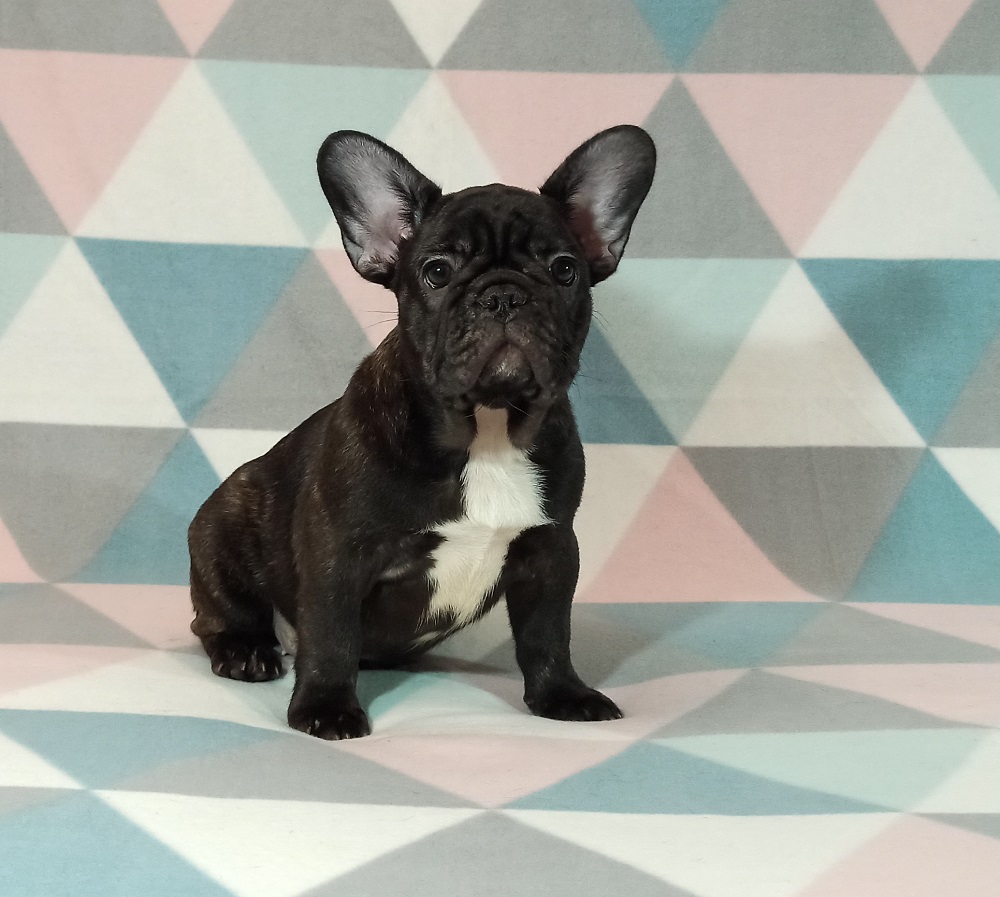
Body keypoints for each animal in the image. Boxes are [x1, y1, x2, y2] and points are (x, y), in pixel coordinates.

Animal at [188, 125, 656, 739]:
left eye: (563, 269)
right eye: (437, 271)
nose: (503, 294)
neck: (487, 431)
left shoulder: (552, 549)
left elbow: (548, 635)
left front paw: (563, 695)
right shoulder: (339, 552)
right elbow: (331, 636)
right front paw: (326, 708)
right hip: (221, 526)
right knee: (220, 615)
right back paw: (245, 650)